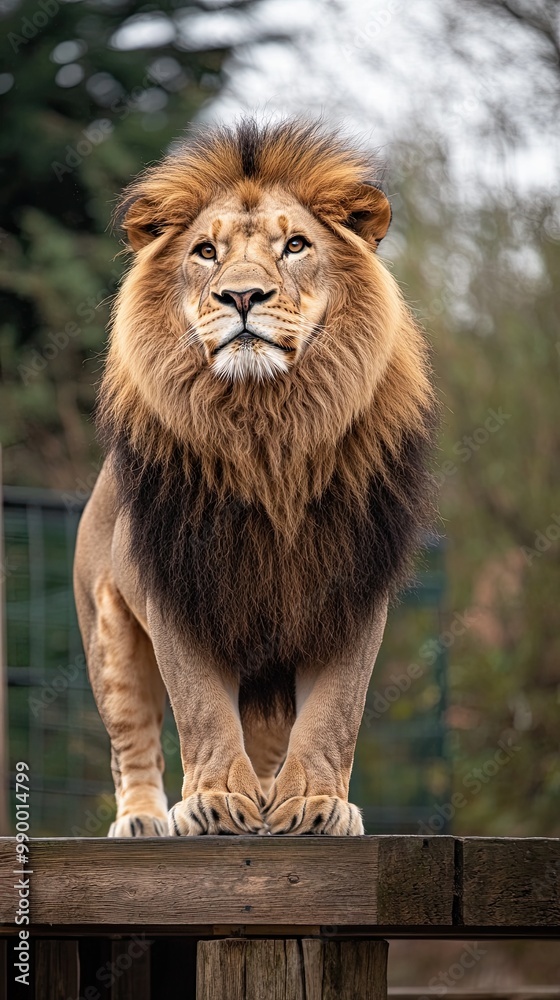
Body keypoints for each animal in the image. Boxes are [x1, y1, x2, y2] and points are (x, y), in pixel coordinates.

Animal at [74, 120, 436, 837]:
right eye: (206, 252)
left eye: (294, 245)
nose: (242, 295)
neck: (268, 430)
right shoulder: (177, 584)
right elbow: (200, 709)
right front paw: (213, 802)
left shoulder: (351, 591)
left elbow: (335, 713)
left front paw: (317, 804)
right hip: (108, 636)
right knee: (132, 737)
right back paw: (143, 819)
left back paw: (274, 800)